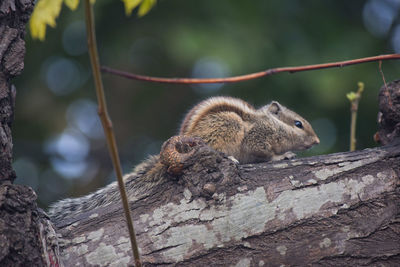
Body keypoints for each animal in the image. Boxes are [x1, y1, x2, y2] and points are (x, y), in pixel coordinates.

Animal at [48, 96, 320, 224]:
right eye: (298, 124)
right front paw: (283, 155)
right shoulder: (258, 138)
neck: (271, 123)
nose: (317, 141)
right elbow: (265, 152)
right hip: (226, 128)